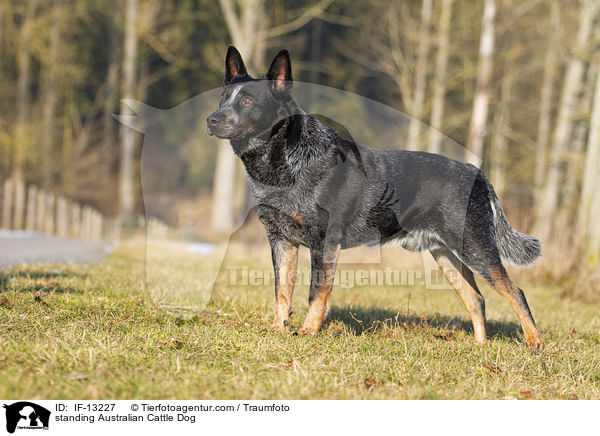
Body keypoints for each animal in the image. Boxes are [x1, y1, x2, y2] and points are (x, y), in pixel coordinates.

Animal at [209, 46, 548, 350]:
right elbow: (282, 290)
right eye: (223, 98)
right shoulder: (281, 241)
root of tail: (477, 173)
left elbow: (316, 292)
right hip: (445, 254)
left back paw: (536, 344)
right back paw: (479, 347)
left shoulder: (324, 241)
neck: (282, 165)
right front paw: (278, 329)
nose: (211, 119)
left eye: (248, 100)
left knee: (515, 292)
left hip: (475, 247)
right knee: (476, 298)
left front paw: (307, 332)